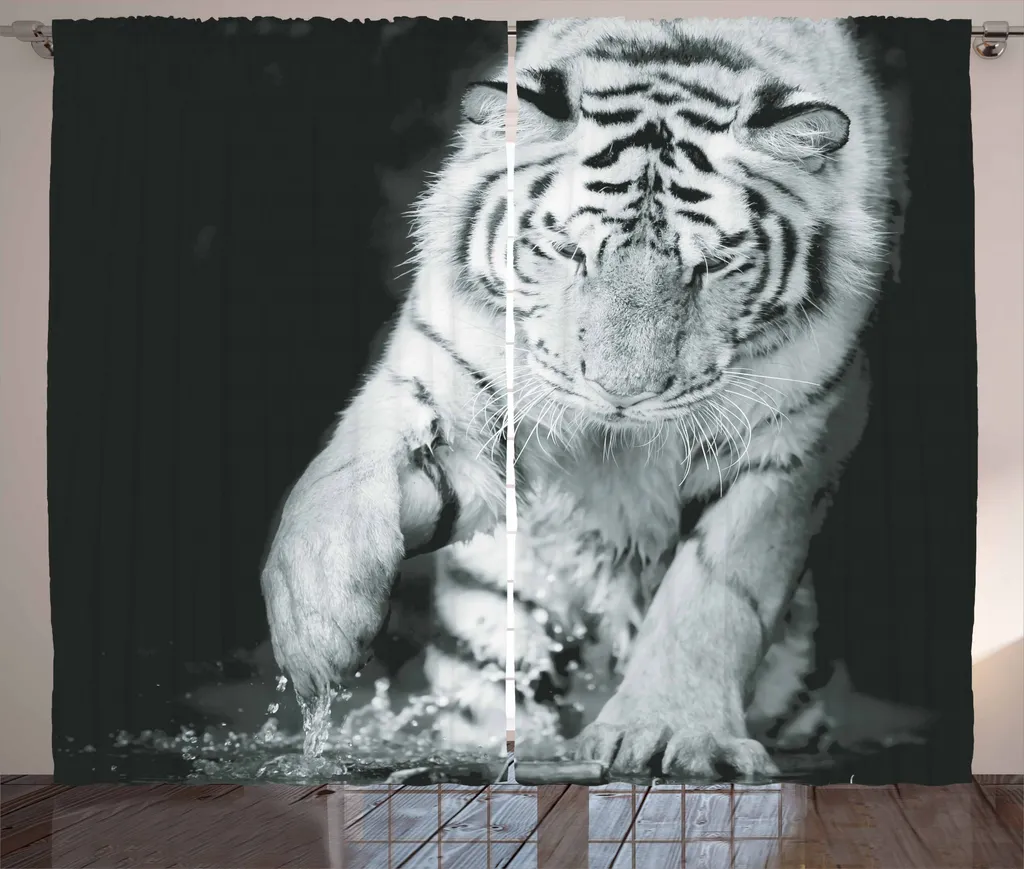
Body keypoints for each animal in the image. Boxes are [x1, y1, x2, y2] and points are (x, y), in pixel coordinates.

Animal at [260, 16, 928, 779]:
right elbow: (340, 479)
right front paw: (316, 637)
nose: (619, 393)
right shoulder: (449, 382)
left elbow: (714, 593)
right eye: (571, 252)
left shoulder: (790, 442)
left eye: (709, 267)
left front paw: (665, 729)